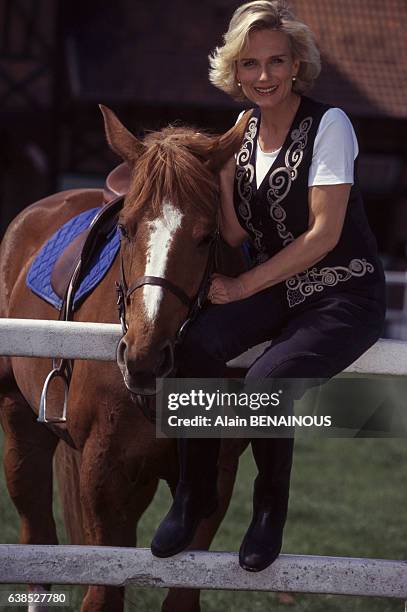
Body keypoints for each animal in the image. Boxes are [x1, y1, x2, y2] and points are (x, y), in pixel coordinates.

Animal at [0, 106, 250, 612]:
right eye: (125, 229)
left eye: (207, 236)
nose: (145, 358)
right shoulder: (107, 478)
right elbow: (102, 594)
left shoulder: (214, 480)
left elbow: (180, 598)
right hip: (19, 431)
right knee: (36, 540)